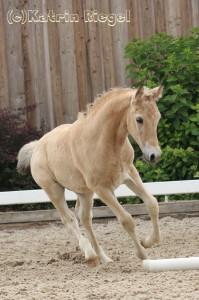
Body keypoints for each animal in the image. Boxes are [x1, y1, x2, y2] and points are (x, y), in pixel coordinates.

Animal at [17, 85, 163, 266]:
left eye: (158, 117)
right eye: (139, 119)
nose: (154, 155)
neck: (104, 141)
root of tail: (37, 146)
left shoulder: (129, 175)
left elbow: (152, 204)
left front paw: (148, 241)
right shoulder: (102, 188)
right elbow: (126, 220)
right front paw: (142, 254)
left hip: (84, 193)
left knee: (85, 218)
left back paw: (104, 258)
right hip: (54, 190)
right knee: (69, 219)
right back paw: (89, 253)